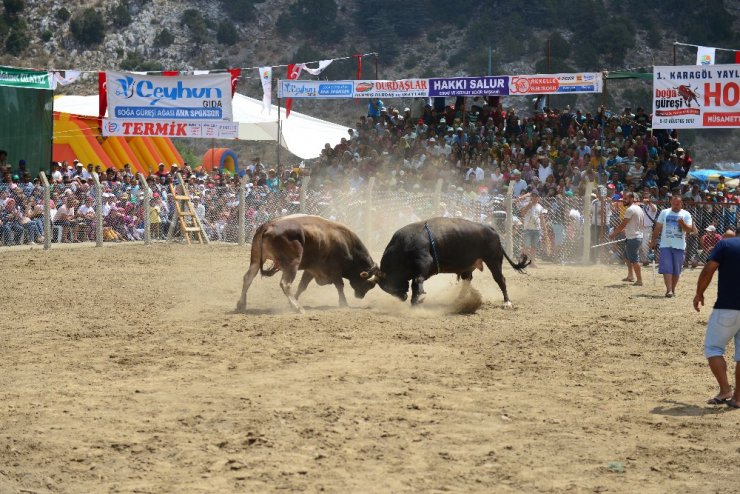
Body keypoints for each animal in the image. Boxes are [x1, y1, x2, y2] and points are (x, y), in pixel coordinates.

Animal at [237, 215, 378, 312]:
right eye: (368, 283)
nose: (360, 296)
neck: (346, 243)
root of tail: (268, 226)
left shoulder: (311, 270)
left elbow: (302, 286)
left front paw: (292, 301)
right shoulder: (335, 270)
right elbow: (340, 286)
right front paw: (343, 303)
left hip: (256, 260)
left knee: (248, 278)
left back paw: (241, 304)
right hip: (292, 263)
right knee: (285, 284)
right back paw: (298, 308)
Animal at [368, 219, 528, 306]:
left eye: (390, 285)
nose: (403, 298)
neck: (402, 248)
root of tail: (490, 228)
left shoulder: (424, 262)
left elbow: (417, 281)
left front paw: (416, 299)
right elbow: (415, 283)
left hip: (493, 261)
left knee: (500, 279)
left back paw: (507, 302)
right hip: (468, 266)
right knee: (467, 281)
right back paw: (459, 300)